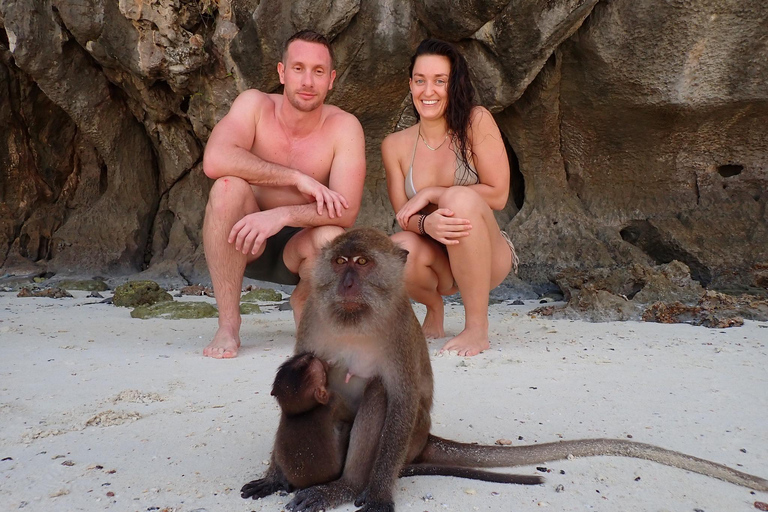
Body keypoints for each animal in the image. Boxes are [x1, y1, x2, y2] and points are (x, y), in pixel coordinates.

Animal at [243, 229, 764, 512]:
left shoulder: (397, 327)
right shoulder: (314, 316)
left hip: (411, 438)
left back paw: (348, 485)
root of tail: (427, 440)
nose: (348, 282)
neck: (356, 316)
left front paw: (375, 494)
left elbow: (401, 397)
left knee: (379, 395)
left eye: (363, 263)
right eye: (340, 261)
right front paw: (274, 476)